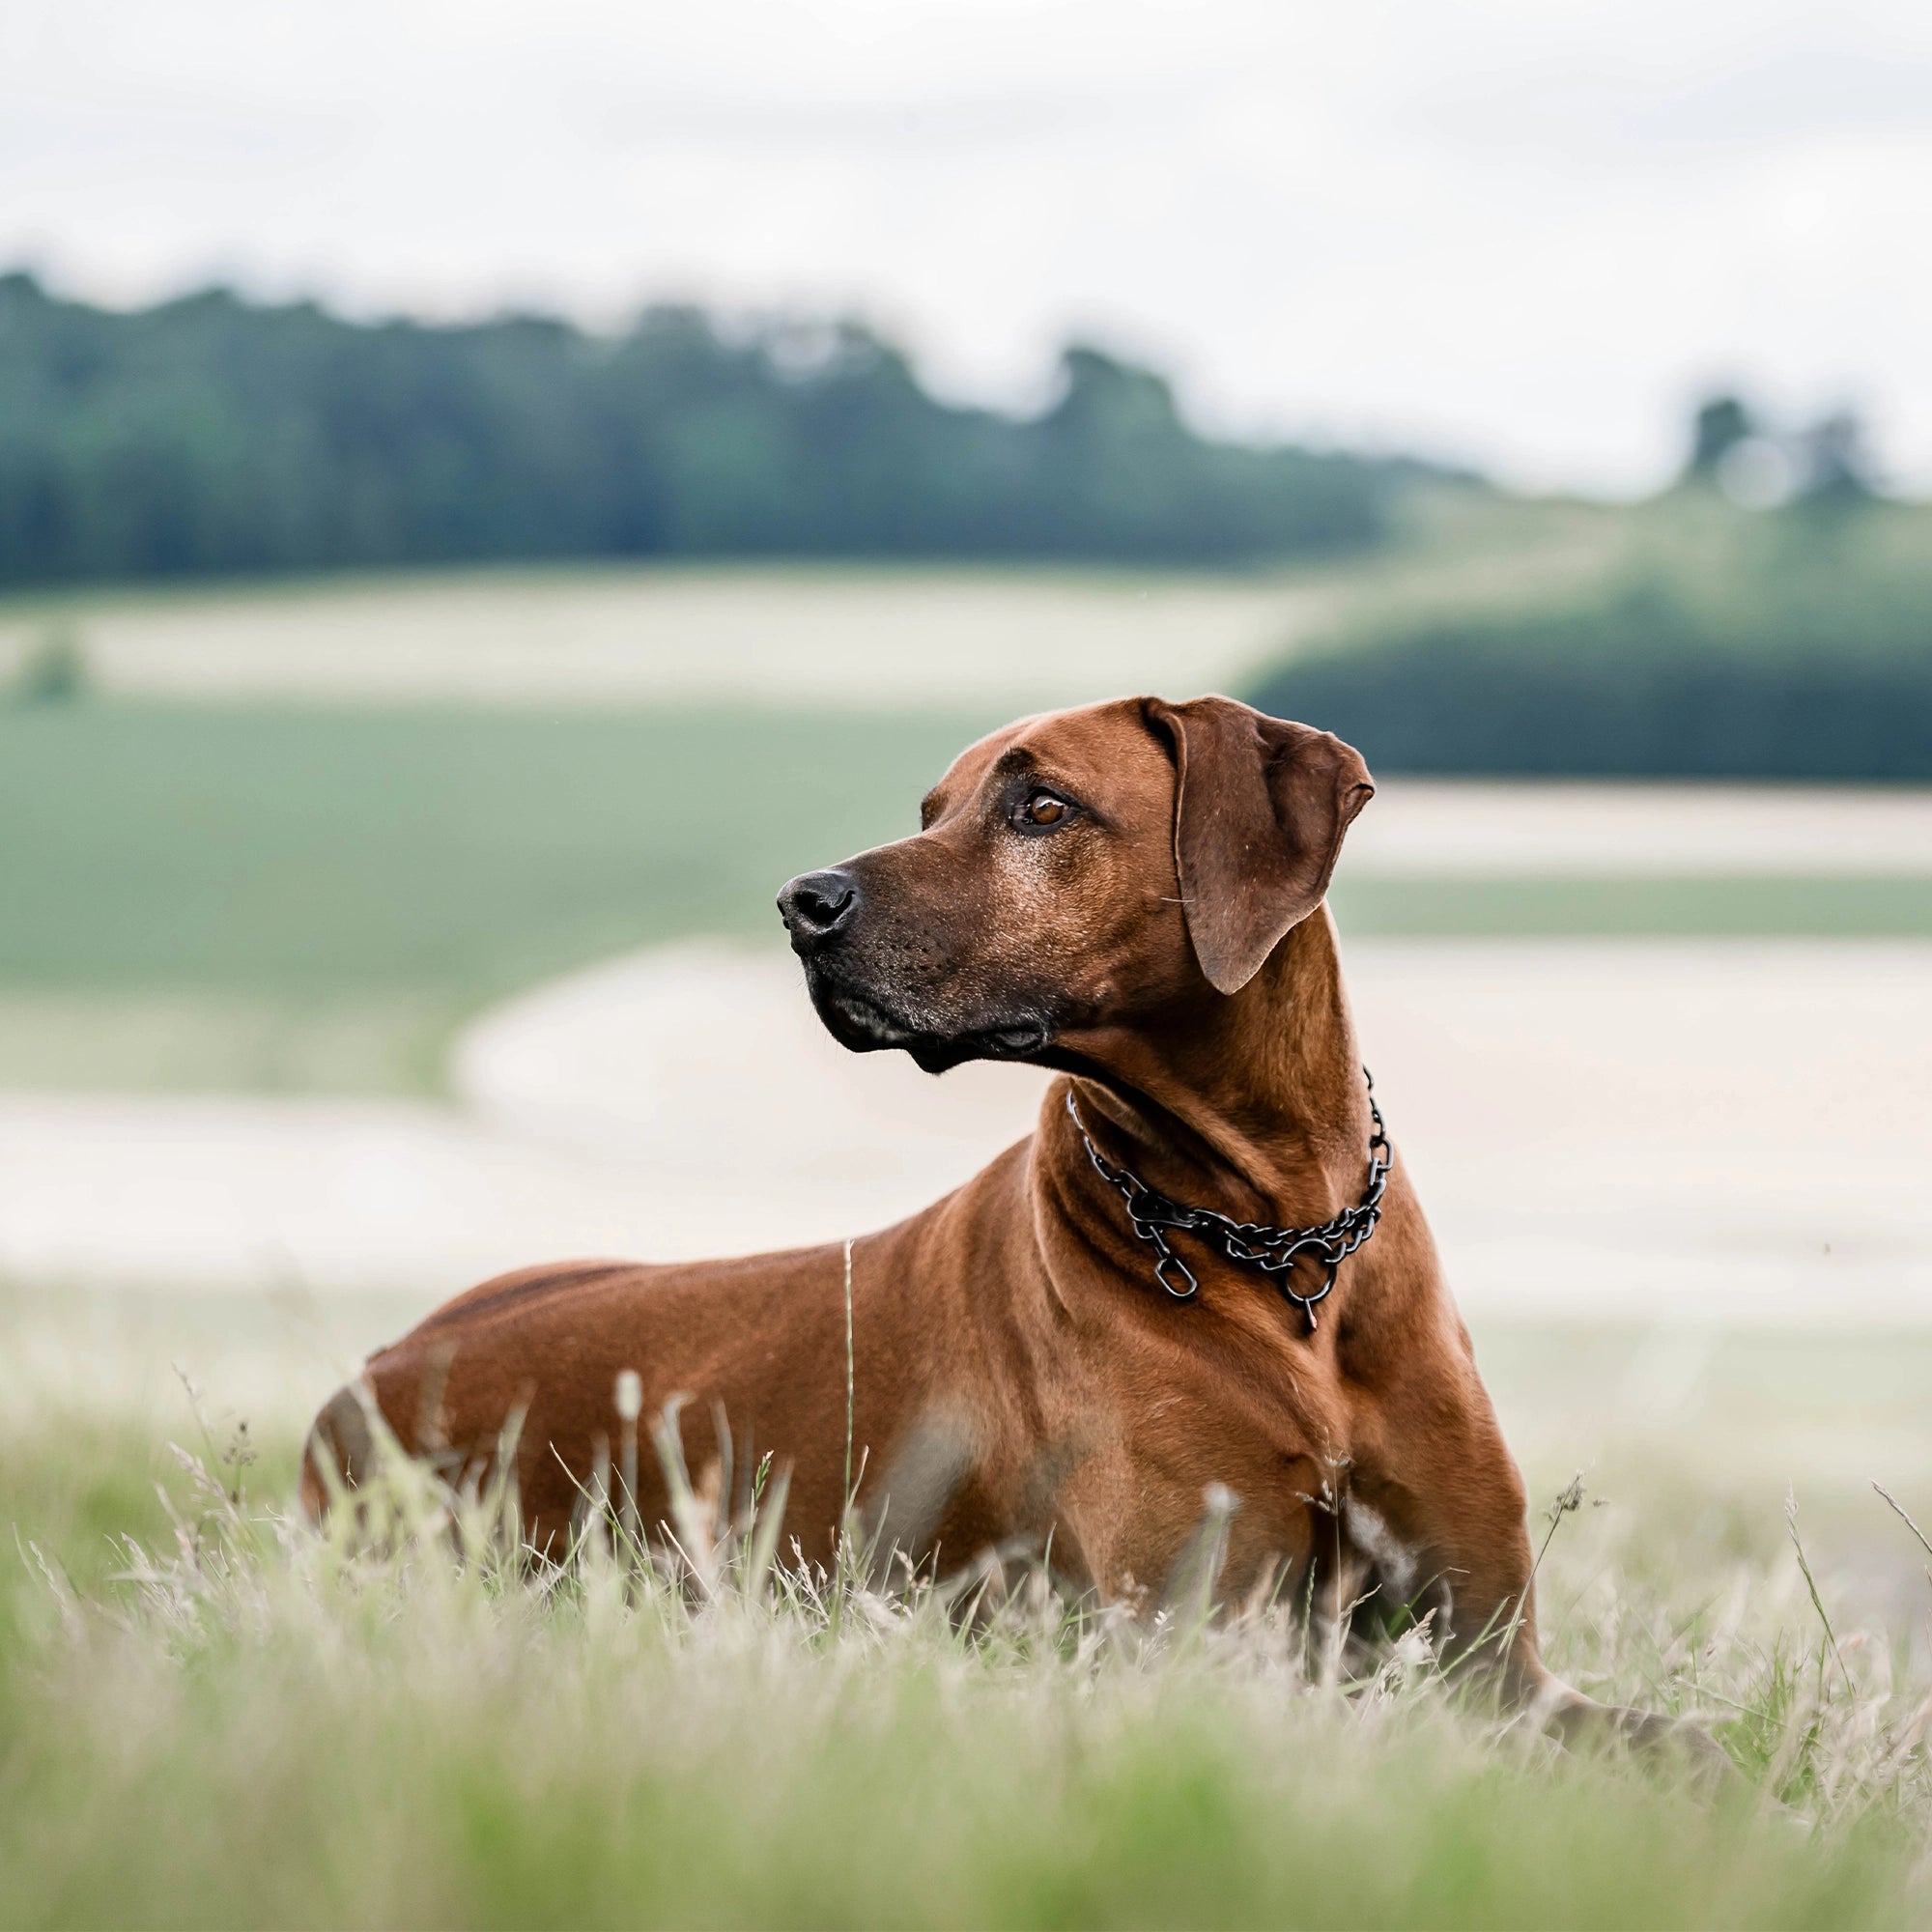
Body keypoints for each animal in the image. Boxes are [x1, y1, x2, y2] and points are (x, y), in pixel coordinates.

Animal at [305, 703, 1677, 1747]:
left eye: (1042, 808)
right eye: (932, 810)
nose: (800, 902)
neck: (1278, 1249)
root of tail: (360, 1379)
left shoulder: (1494, 1659)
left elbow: (1684, 1746)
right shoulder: (1201, 1643)